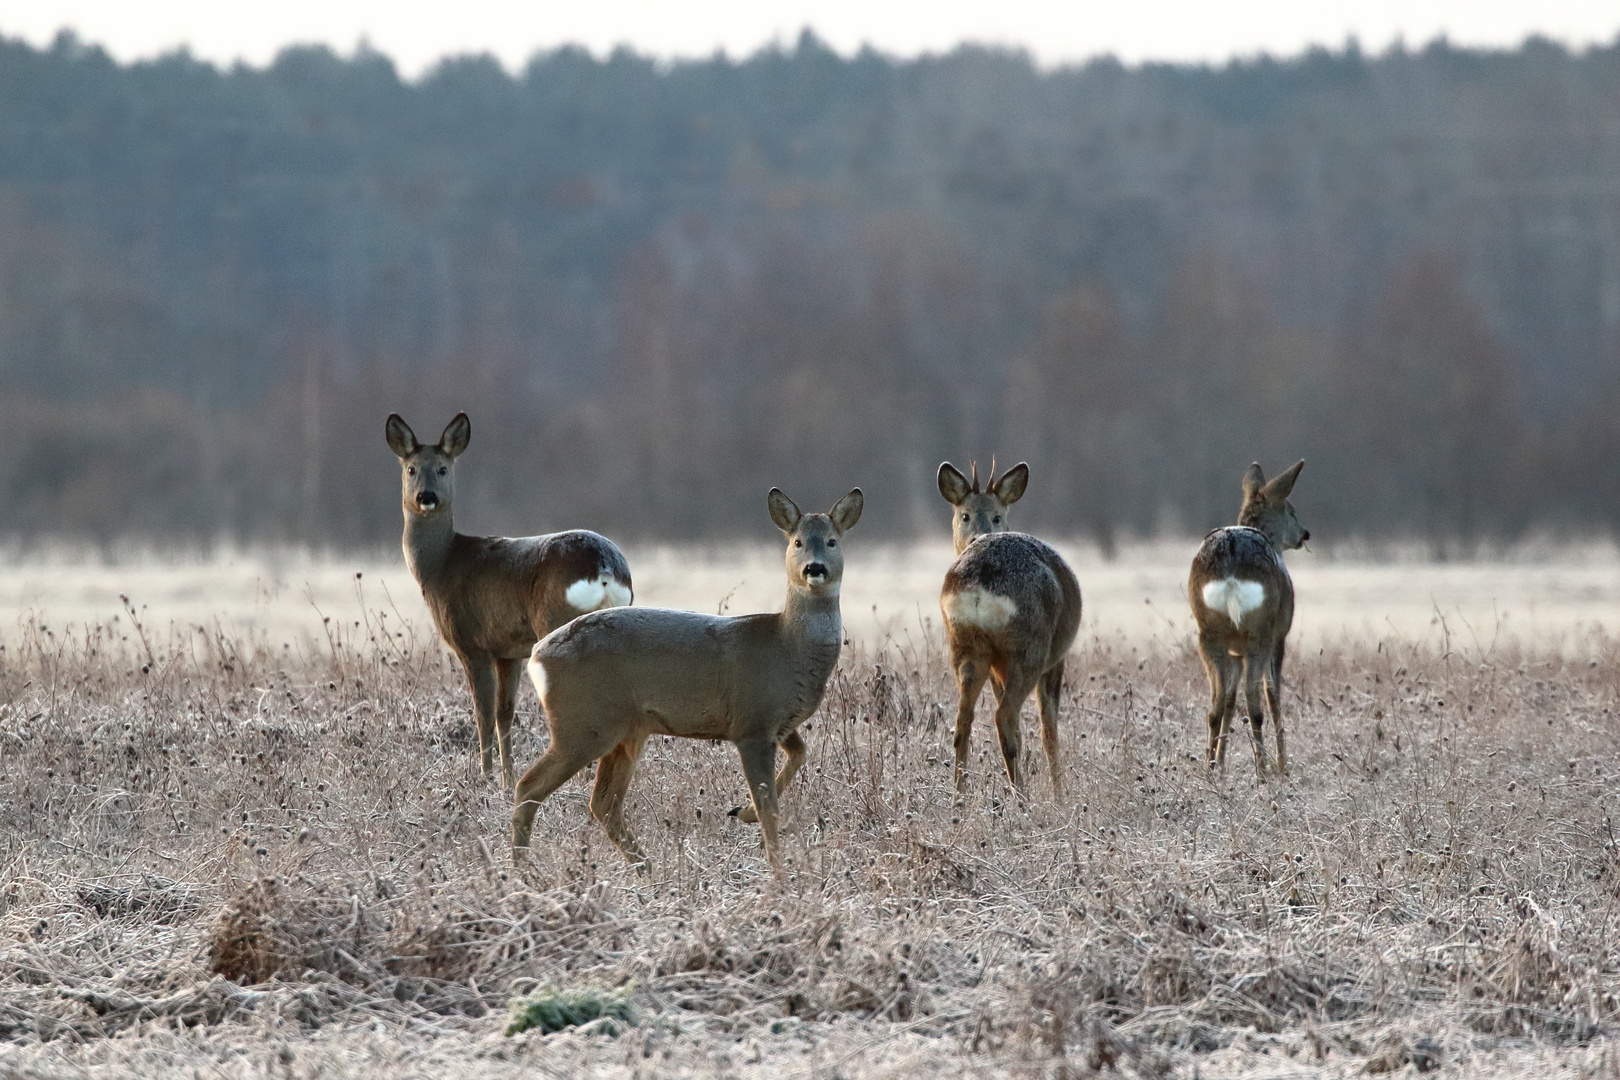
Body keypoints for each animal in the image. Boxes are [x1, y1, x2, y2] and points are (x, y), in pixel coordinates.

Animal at [385, 414, 631, 786]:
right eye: (412, 468)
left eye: (442, 468)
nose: (426, 497)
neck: (441, 564)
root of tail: (603, 567)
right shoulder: (508, 650)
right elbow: (505, 713)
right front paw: (505, 778)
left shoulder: (472, 644)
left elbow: (483, 713)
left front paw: (485, 777)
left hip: (555, 623)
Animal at [508, 485, 868, 874]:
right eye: (798, 541)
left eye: (832, 541)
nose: (814, 568)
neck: (788, 647)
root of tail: (538, 656)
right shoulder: (751, 722)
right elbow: (769, 807)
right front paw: (778, 872)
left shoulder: (778, 722)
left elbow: (801, 754)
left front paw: (741, 812)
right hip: (584, 722)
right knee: (529, 787)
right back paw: (521, 872)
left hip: (626, 730)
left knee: (602, 802)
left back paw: (645, 869)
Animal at [933, 459, 1082, 799]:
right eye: (965, 515)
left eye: (996, 515)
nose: (976, 534)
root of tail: (980, 581)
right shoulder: (1056, 659)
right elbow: (1049, 728)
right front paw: (1060, 796)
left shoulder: (993, 669)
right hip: (1029, 649)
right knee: (1005, 717)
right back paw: (1023, 799)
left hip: (966, 648)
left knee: (963, 722)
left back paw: (959, 799)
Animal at [1185, 459, 1308, 773]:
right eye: (1291, 509)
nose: (1305, 534)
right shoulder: (1279, 637)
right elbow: (1274, 697)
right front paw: (1282, 765)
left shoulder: (1235, 652)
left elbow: (1229, 700)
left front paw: (1221, 763)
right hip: (1259, 630)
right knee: (1256, 703)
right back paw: (1263, 771)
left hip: (1209, 632)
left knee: (1215, 705)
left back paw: (1210, 769)